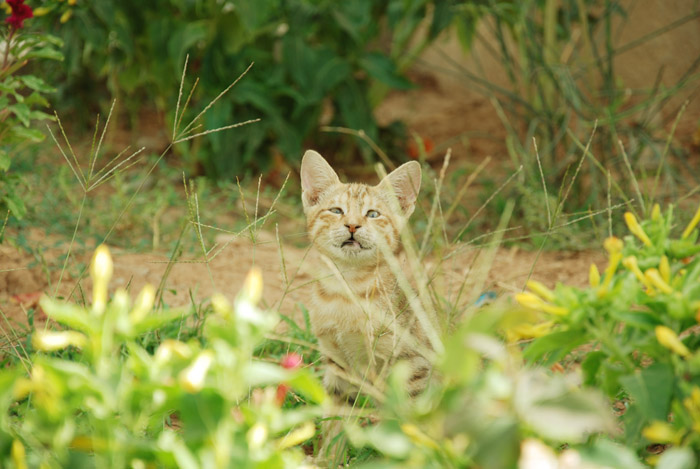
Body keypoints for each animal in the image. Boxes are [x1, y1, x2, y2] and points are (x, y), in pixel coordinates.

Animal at [300, 151, 434, 406]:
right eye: (336, 211)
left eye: (373, 214)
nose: (352, 225)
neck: (347, 288)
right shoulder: (337, 362)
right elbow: (336, 409)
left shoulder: (411, 363)